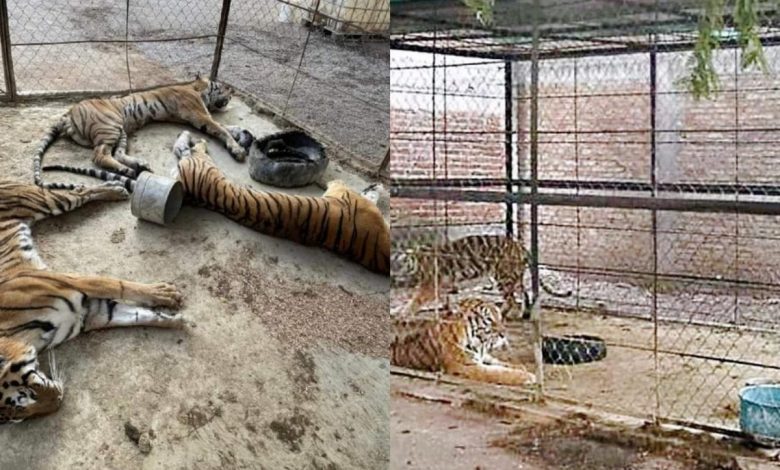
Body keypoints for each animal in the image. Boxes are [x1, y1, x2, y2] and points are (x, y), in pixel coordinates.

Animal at [32, 75, 247, 189]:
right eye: (221, 86)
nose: (232, 90)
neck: (196, 89)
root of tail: (68, 113)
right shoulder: (199, 115)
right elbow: (221, 129)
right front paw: (237, 149)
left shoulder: (199, 117)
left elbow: (223, 126)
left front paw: (239, 131)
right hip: (110, 126)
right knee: (99, 155)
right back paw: (127, 170)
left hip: (121, 130)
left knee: (117, 153)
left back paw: (137, 165)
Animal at [42, 130, 390, 274]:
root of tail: (191, 192)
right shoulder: (343, 191)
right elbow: (335, 181)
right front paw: (377, 188)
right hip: (201, 161)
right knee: (191, 144)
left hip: (194, 164)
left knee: (186, 146)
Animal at [394, 298, 532, 386]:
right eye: (488, 319)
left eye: (500, 317)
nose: (504, 334)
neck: (479, 344)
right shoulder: (466, 365)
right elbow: (498, 372)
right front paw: (528, 376)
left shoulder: (482, 357)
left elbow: (499, 363)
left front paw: (520, 367)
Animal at [396, 235, 572, 320]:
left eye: (400, 263)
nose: (396, 273)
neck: (417, 260)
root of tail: (519, 244)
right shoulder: (445, 284)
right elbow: (447, 298)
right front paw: (450, 311)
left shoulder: (428, 285)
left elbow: (415, 299)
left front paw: (403, 313)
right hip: (513, 277)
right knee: (524, 294)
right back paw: (524, 314)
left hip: (503, 277)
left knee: (511, 300)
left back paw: (502, 314)